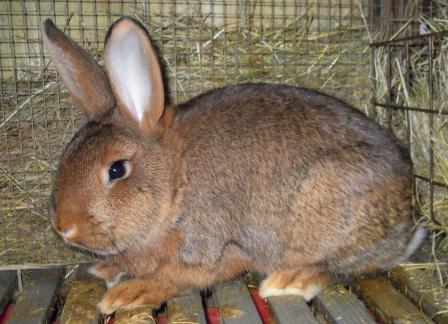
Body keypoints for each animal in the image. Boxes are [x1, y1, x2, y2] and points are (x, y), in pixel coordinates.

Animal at [43, 17, 428, 314]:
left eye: (117, 170)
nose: (63, 227)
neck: (176, 182)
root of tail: (406, 227)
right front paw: (106, 268)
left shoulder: (214, 248)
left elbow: (178, 276)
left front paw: (127, 294)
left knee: (336, 266)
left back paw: (289, 281)